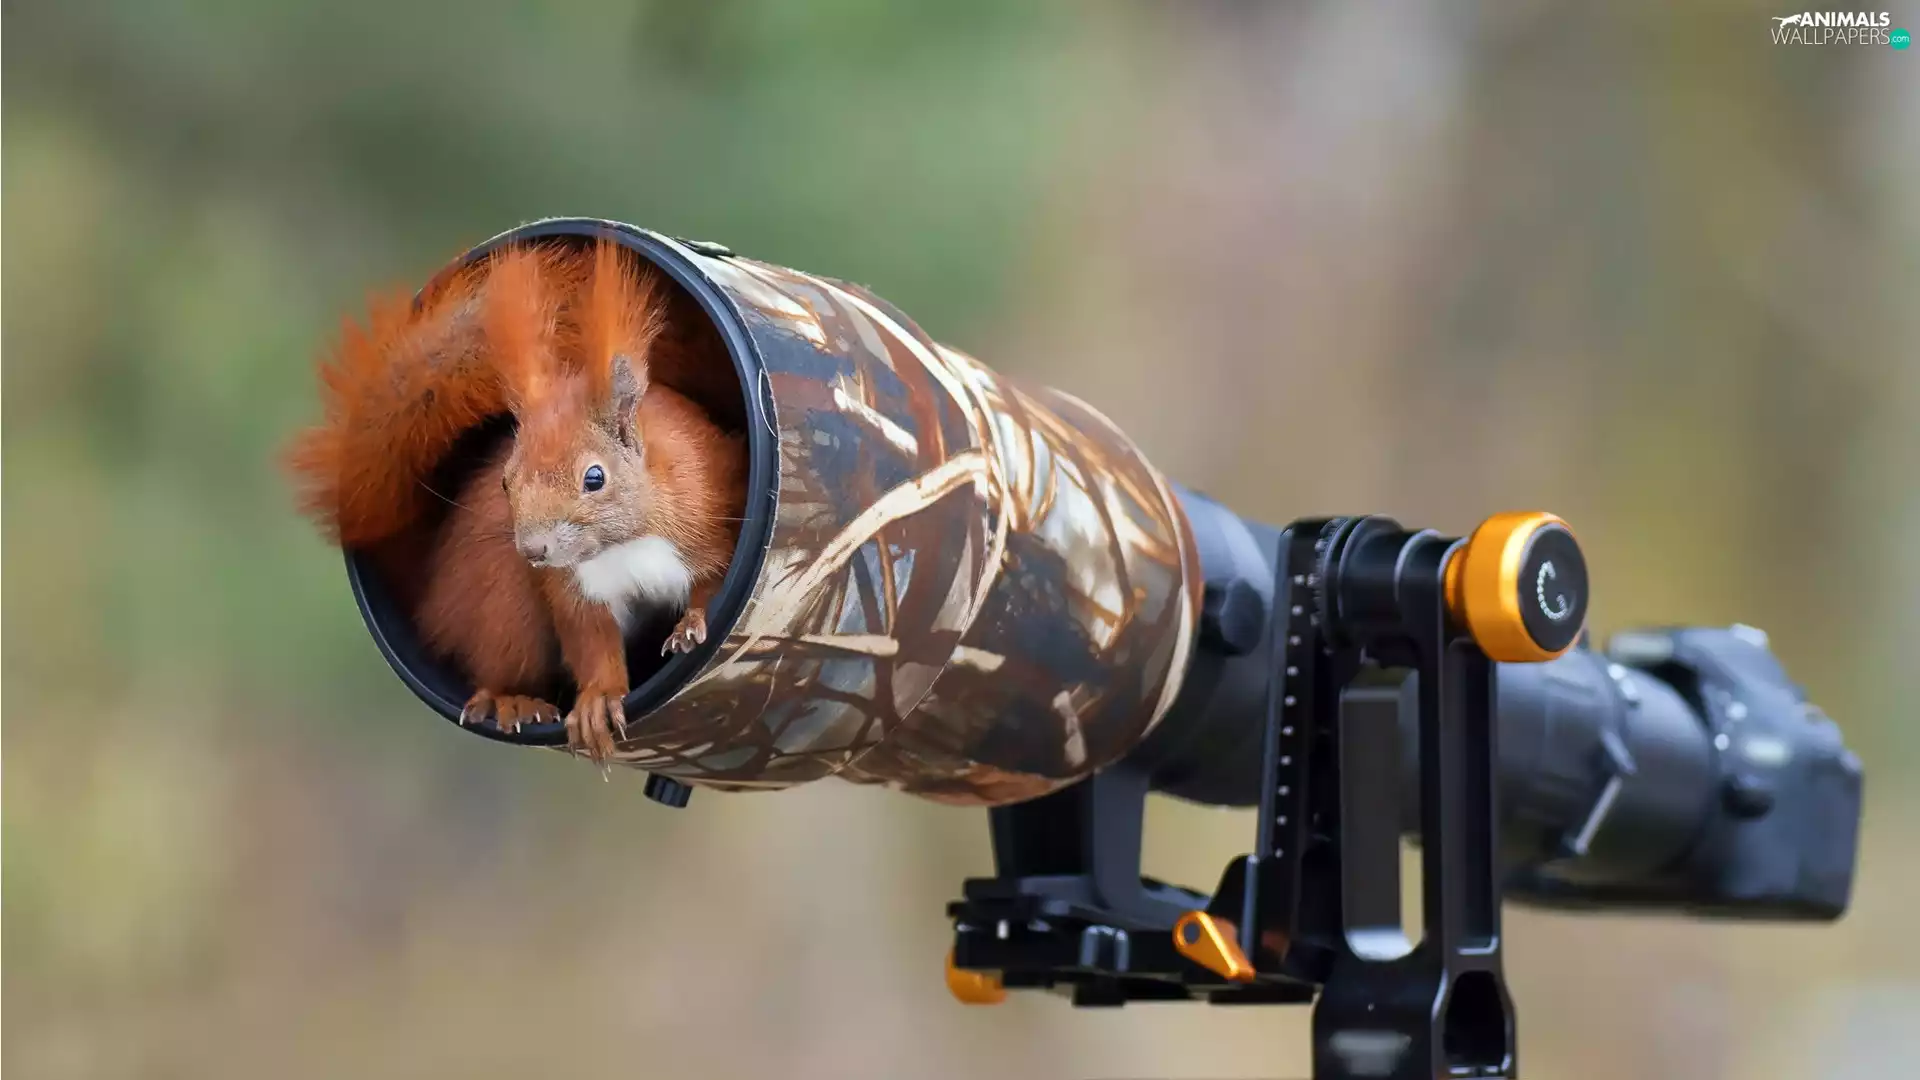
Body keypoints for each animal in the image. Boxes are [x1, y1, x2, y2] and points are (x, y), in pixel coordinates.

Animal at [285, 238, 748, 762]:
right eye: (506, 482)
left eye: (595, 477)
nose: (533, 550)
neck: (622, 545)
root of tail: (430, 600)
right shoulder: (573, 590)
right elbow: (591, 643)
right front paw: (598, 699)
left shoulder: (708, 523)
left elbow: (712, 584)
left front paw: (692, 624)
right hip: (503, 605)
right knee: (498, 663)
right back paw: (513, 701)